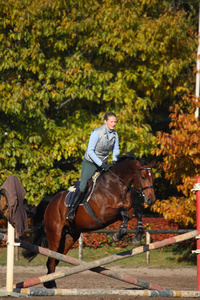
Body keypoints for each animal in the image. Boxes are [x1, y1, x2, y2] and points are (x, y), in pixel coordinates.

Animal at [23, 152, 156, 288]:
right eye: (143, 177)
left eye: (153, 178)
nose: (151, 200)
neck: (118, 186)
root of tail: (52, 201)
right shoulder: (104, 214)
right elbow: (123, 213)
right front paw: (118, 235)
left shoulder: (128, 210)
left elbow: (137, 212)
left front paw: (137, 238)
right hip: (55, 235)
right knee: (51, 258)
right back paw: (51, 285)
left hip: (69, 237)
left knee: (55, 259)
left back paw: (50, 283)